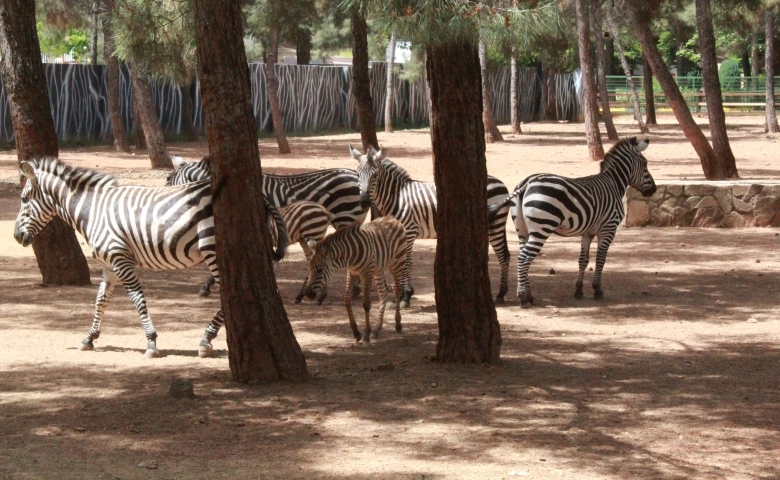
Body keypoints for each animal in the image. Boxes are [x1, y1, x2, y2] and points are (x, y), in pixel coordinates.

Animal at [12, 159, 284, 358]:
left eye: (24, 199)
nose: (16, 236)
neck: (93, 211)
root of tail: (260, 196)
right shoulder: (109, 264)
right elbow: (100, 301)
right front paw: (89, 338)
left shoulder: (121, 259)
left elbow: (138, 300)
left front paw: (151, 343)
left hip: (212, 249)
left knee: (229, 292)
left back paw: (206, 339)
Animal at [304, 216, 406, 344]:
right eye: (309, 269)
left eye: (319, 270)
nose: (308, 294)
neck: (350, 255)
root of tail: (393, 218)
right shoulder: (351, 273)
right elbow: (347, 300)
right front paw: (356, 332)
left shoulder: (367, 274)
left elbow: (366, 303)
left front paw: (366, 333)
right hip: (378, 269)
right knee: (383, 293)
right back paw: (377, 329)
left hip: (397, 263)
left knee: (397, 291)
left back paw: (398, 324)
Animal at [352, 144, 512, 308]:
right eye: (357, 174)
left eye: (375, 175)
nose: (364, 203)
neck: (397, 197)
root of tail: (500, 182)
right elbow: (401, 263)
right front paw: (399, 297)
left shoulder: (409, 231)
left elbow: (406, 264)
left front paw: (406, 296)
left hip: (496, 224)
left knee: (504, 255)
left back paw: (501, 293)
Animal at [490, 137, 656, 308]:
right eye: (645, 163)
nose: (654, 190)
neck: (614, 184)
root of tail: (527, 183)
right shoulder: (608, 229)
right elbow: (600, 259)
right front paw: (597, 290)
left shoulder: (588, 232)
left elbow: (583, 260)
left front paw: (579, 291)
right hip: (541, 228)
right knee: (524, 257)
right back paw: (523, 297)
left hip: (522, 229)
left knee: (521, 256)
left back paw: (528, 295)